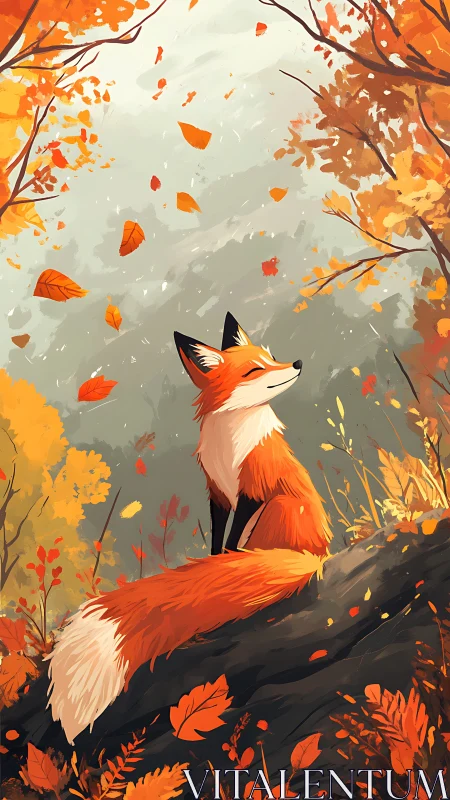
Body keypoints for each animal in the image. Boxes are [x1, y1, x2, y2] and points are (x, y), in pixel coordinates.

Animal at [47, 313, 332, 744]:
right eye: (255, 369)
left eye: (272, 357)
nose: (297, 363)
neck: (231, 443)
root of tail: (316, 552)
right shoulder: (220, 495)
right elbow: (220, 543)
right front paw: (217, 565)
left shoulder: (253, 491)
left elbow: (232, 545)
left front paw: (224, 568)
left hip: (280, 505)